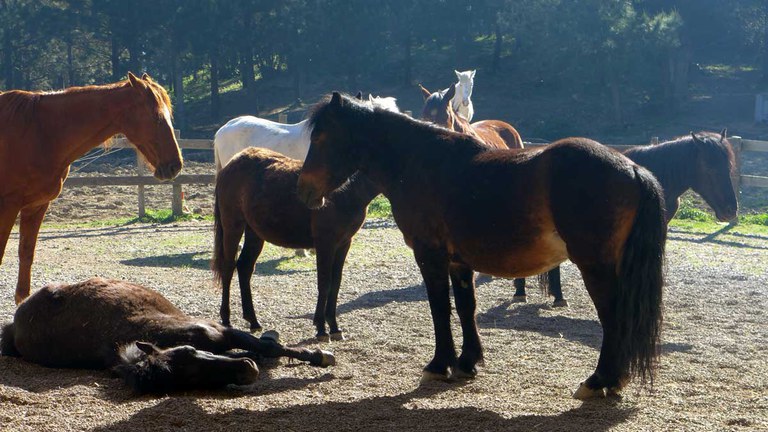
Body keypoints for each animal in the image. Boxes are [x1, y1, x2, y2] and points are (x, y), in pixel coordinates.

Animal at [1, 276, 334, 394]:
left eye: (189, 351)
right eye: (188, 381)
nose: (246, 372)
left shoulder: (220, 332)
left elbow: (268, 348)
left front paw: (318, 356)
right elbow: (262, 349)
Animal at [212, 147, 380, 340]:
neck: (347, 191)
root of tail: (231, 163)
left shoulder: (344, 243)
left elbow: (336, 283)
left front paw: (334, 327)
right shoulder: (325, 243)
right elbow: (324, 282)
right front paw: (321, 328)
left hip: (254, 232)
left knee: (244, 267)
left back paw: (253, 321)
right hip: (233, 226)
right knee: (228, 268)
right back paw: (226, 319)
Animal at [296, 93, 664, 400]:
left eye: (321, 137)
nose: (304, 190)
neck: (419, 163)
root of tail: (633, 168)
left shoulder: (429, 256)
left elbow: (439, 309)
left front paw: (439, 364)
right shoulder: (459, 262)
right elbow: (465, 307)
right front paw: (466, 362)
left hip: (595, 267)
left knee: (613, 317)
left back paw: (599, 380)